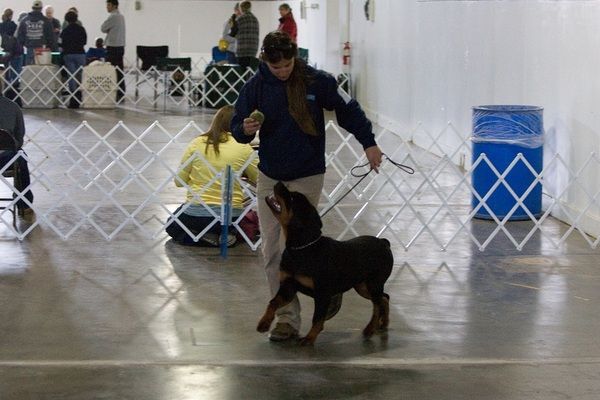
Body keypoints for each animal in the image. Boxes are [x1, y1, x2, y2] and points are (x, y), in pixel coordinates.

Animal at [257, 182, 394, 345]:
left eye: (291, 197)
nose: (279, 182)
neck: (302, 248)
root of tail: (383, 242)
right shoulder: (287, 287)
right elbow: (273, 302)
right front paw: (264, 323)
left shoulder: (322, 293)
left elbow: (317, 318)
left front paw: (309, 338)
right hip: (362, 286)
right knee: (384, 298)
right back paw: (383, 323)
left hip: (374, 283)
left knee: (377, 305)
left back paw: (370, 329)